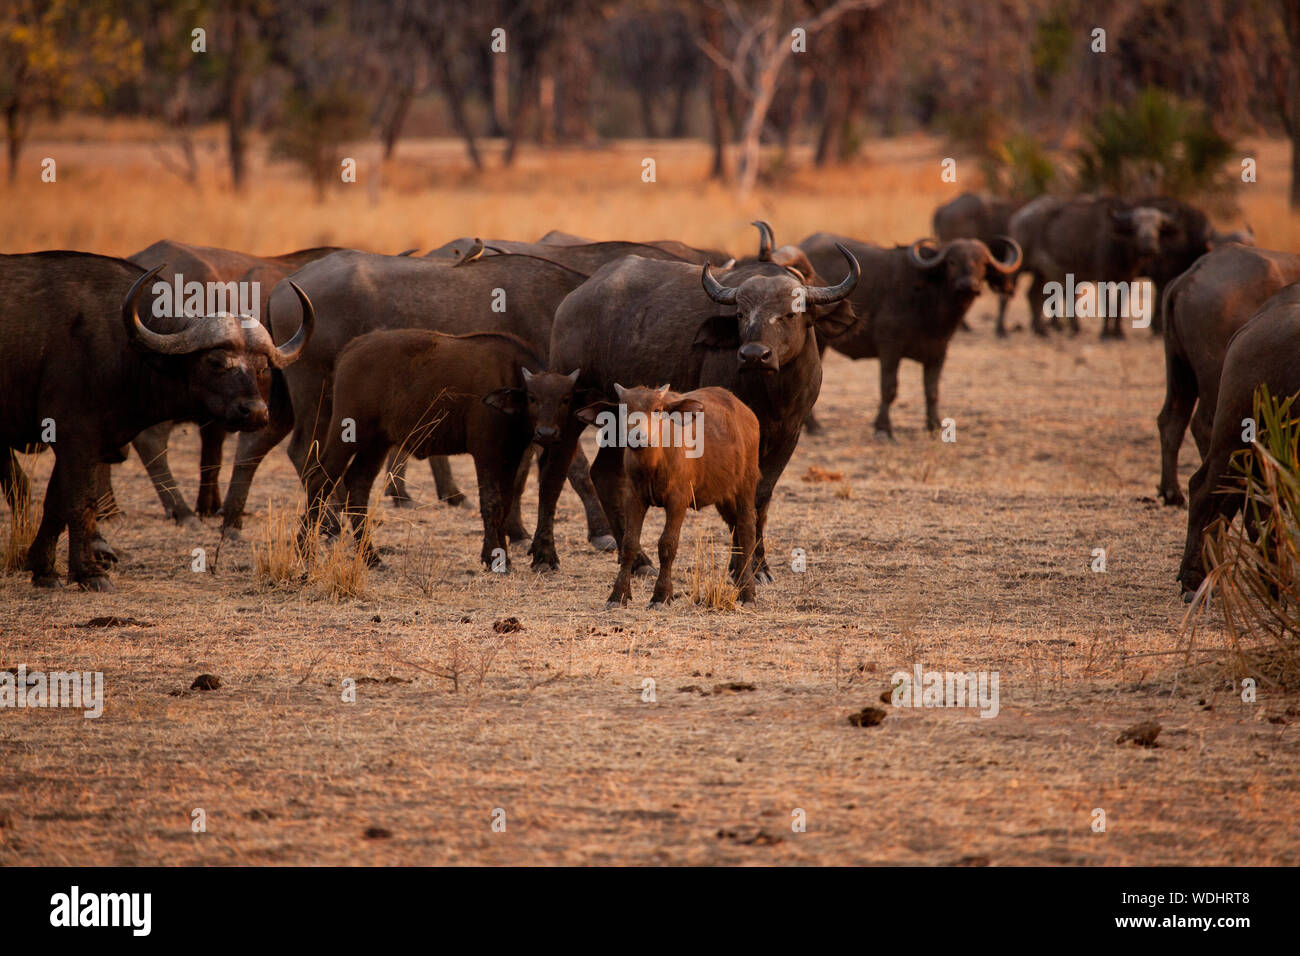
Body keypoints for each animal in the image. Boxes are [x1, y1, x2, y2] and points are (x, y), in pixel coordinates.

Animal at [299, 329, 579, 567]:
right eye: (533, 398)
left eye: (565, 400)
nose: (546, 433)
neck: (508, 378)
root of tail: (352, 348)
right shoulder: (485, 453)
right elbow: (491, 502)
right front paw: (494, 558)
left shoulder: (511, 457)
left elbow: (506, 504)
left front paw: (502, 555)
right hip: (346, 434)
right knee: (319, 480)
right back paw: (306, 551)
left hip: (377, 443)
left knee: (357, 485)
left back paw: (372, 558)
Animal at [579, 382, 759, 606]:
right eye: (624, 410)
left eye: (657, 410)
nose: (637, 437)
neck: (653, 463)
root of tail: (744, 411)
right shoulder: (634, 498)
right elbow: (629, 543)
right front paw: (618, 594)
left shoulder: (678, 501)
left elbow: (667, 544)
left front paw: (661, 595)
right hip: (724, 494)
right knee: (735, 527)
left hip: (746, 485)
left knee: (746, 529)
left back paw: (748, 592)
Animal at [795, 235, 1019, 437]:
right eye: (952, 262)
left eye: (983, 263)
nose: (968, 285)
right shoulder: (890, 348)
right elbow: (889, 388)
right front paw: (883, 428)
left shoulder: (939, 352)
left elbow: (932, 391)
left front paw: (934, 425)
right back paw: (814, 426)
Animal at [1159, 247, 1300, 509]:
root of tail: (1191, 274)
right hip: (1217, 379)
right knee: (1203, 424)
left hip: (1179, 369)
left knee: (1171, 420)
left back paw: (1172, 492)